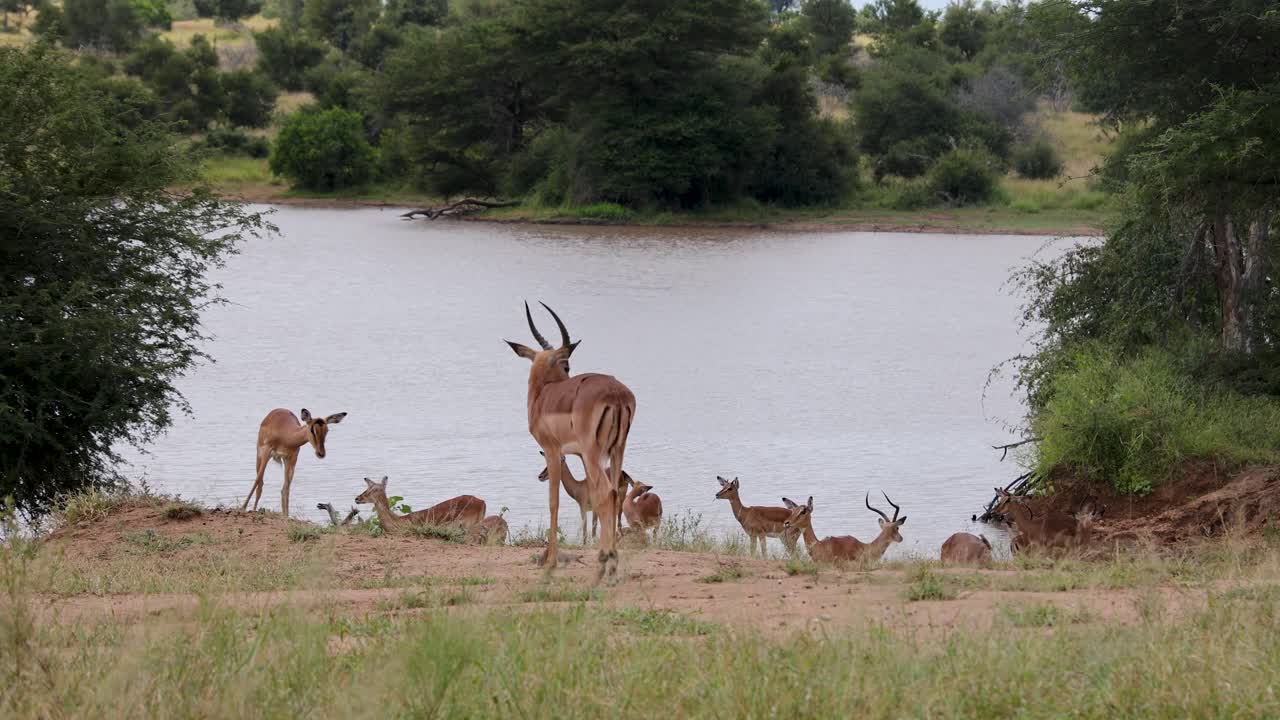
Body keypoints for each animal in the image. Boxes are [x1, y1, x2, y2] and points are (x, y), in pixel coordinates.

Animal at [506, 302, 636, 580]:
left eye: (566, 366)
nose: (567, 378)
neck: (542, 397)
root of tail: (616, 394)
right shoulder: (580, 456)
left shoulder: (553, 451)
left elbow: (553, 502)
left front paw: (550, 562)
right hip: (616, 451)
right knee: (611, 493)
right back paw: (610, 564)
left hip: (594, 452)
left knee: (605, 492)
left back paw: (603, 566)